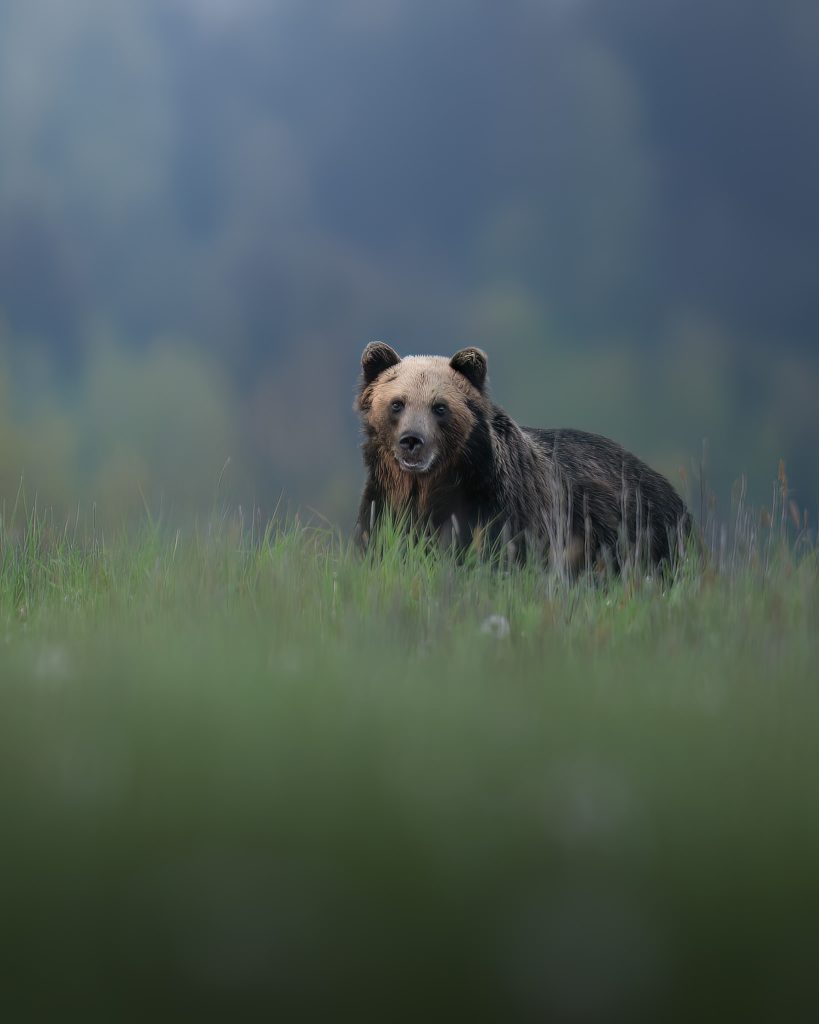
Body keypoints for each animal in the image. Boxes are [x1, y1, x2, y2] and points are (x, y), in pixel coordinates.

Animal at [354, 342, 694, 573]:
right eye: (398, 403)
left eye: (439, 407)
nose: (412, 441)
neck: (428, 487)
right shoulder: (385, 505)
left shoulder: (500, 510)